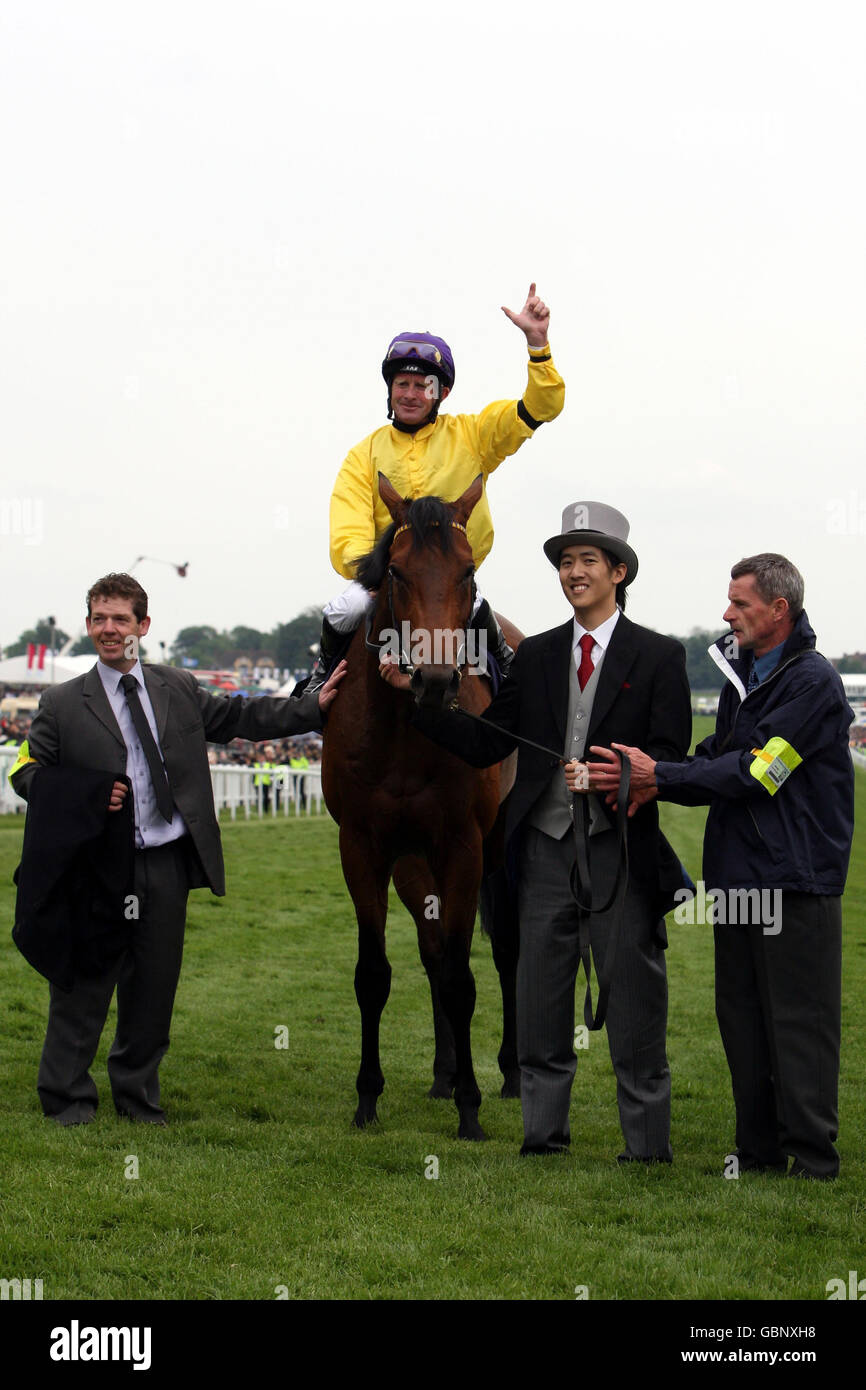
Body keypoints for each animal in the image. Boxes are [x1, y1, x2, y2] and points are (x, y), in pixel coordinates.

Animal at [319, 472, 517, 1134]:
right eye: (398, 572)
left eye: (467, 570)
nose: (434, 680)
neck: (408, 733)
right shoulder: (364, 845)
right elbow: (375, 973)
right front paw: (366, 1098)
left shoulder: (464, 845)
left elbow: (462, 975)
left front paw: (471, 1108)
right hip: (412, 861)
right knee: (431, 952)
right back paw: (442, 1075)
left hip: (503, 850)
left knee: (505, 951)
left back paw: (508, 1075)